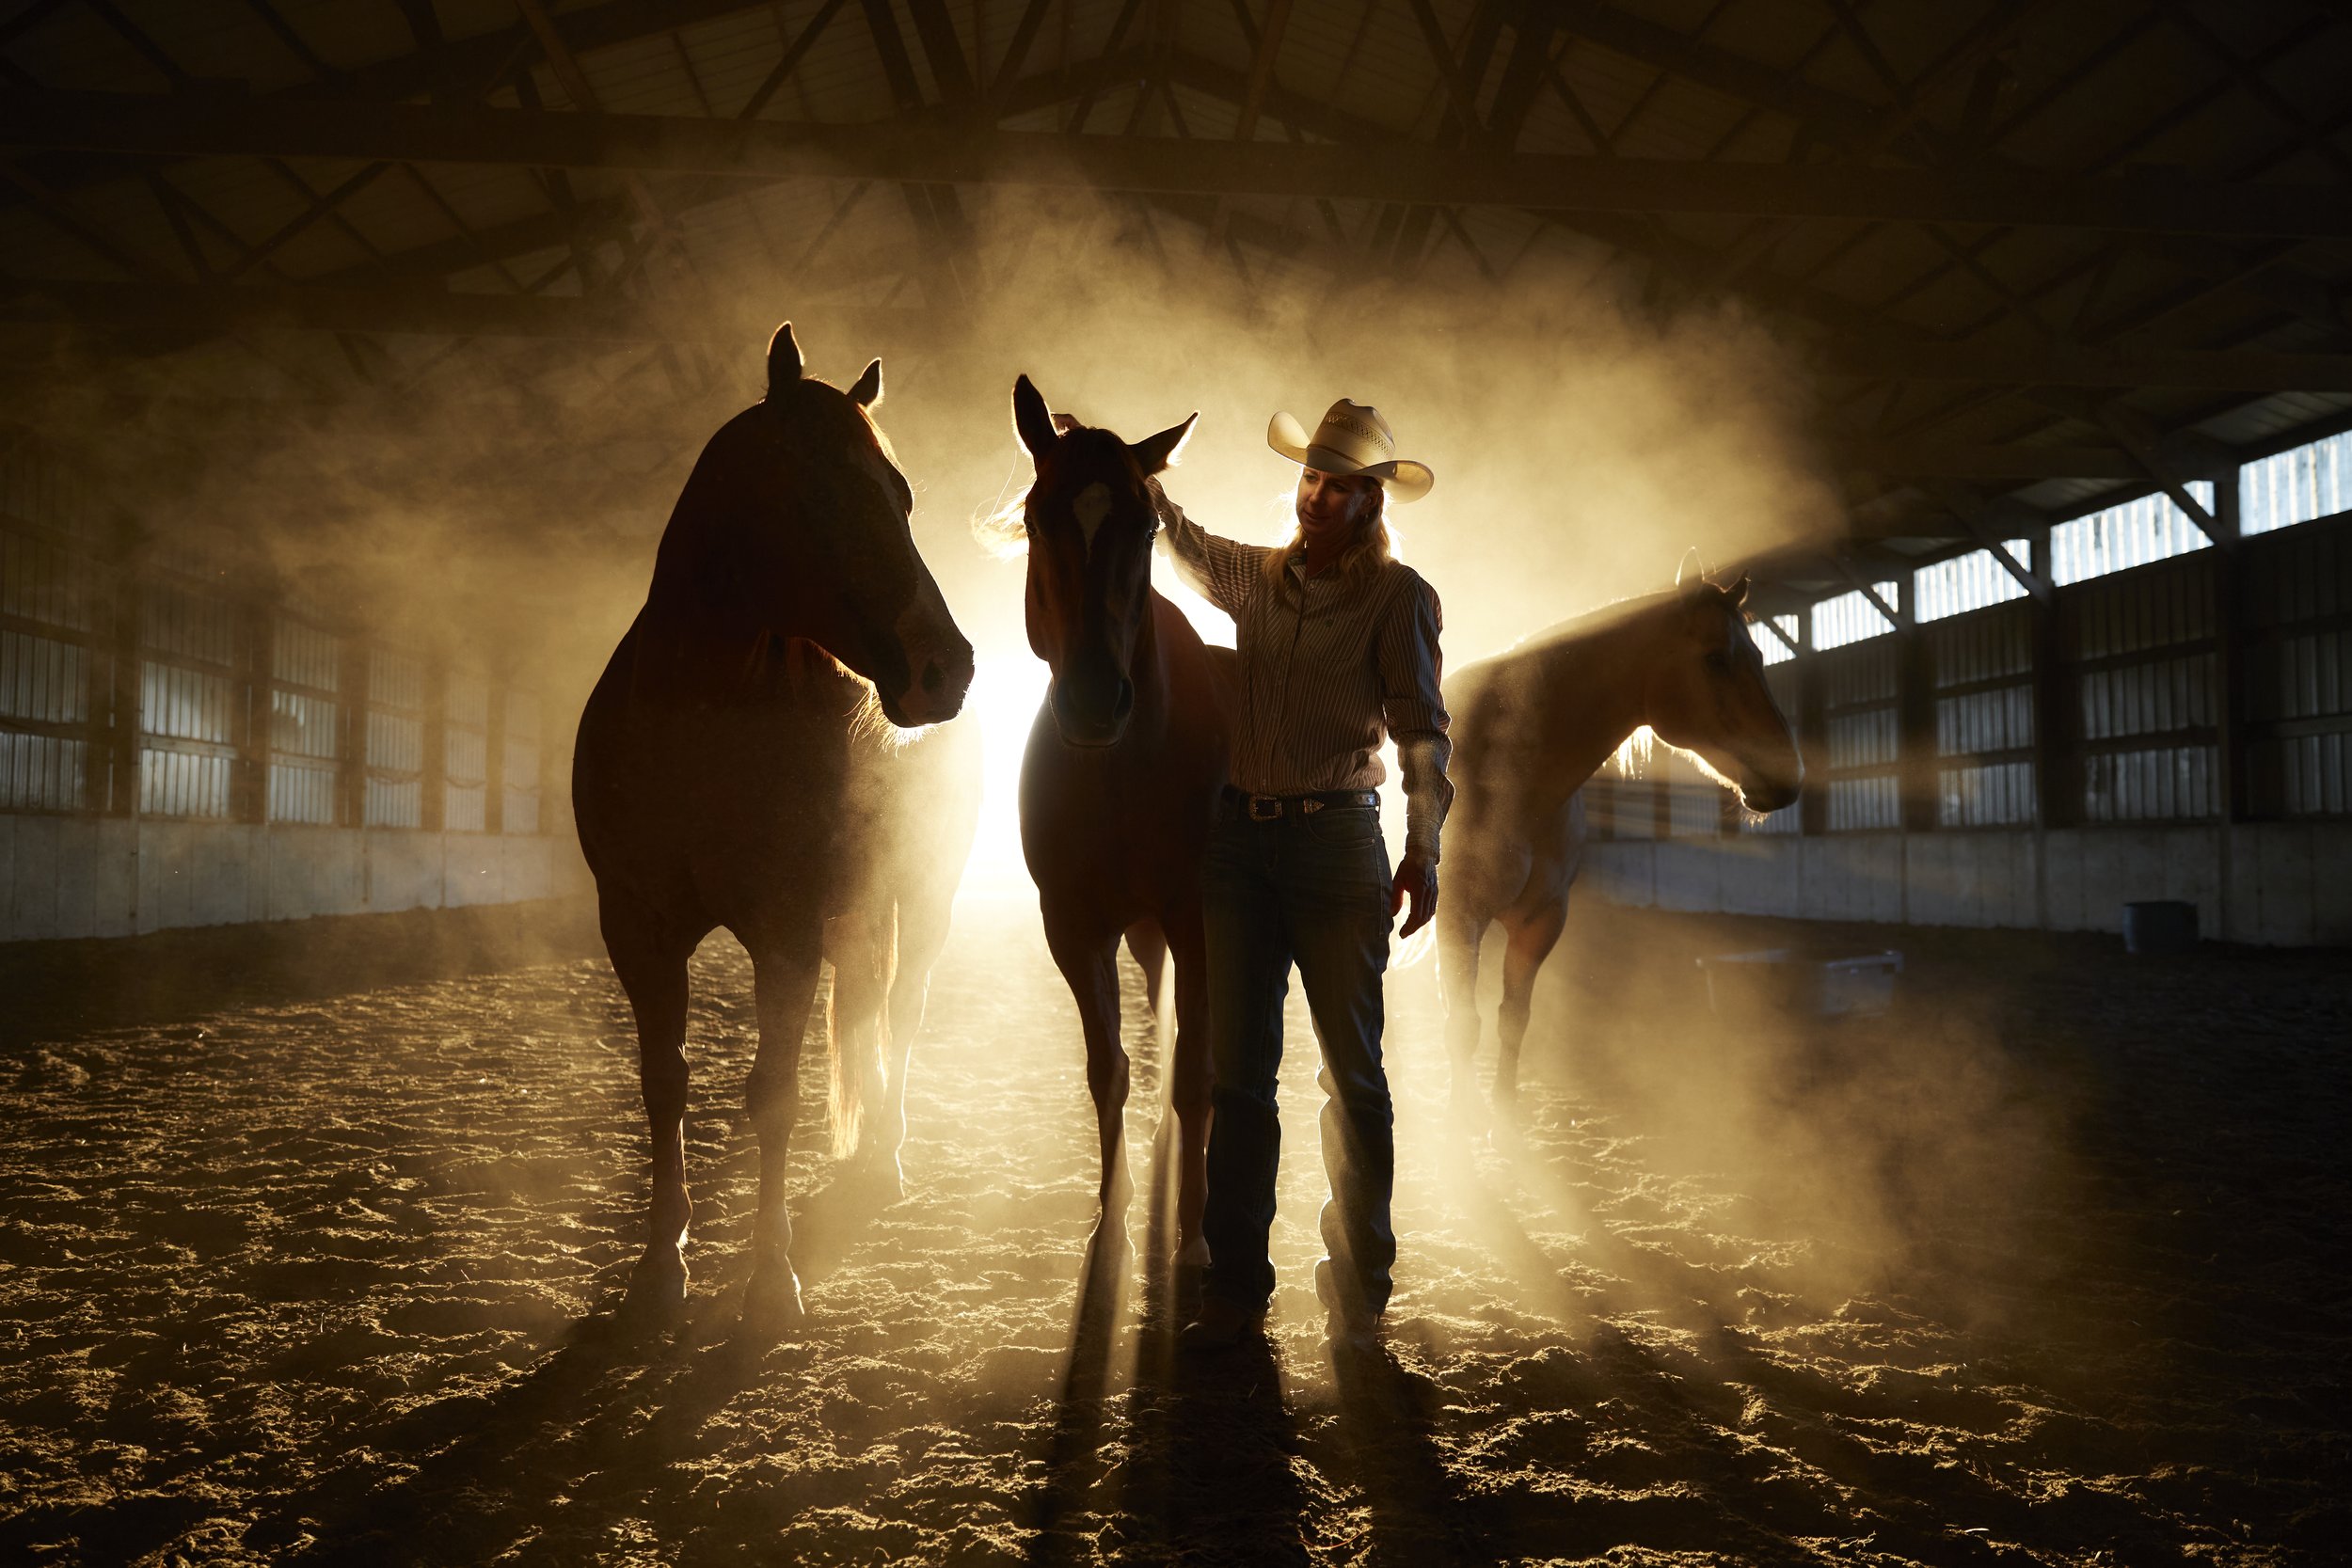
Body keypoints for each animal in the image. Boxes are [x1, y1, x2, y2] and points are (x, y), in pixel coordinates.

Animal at [579, 328, 974, 1325]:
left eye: (902, 495)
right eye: (826, 492)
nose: (946, 667)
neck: (701, 718)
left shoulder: (785, 932)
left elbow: (774, 1095)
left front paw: (768, 1278)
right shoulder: (636, 928)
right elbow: (665, 1083)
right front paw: (659, 1267)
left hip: (923, 898)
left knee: (901, 1013)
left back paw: (884, 1155)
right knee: (867, 1010)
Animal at [1430, 571, 1797, 1123]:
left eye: (1758, 654)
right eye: (1716, 658)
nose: (1790, 775)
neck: (1507, 775)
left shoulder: (1541, 921)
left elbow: (1512, 1020)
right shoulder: (1459, 914)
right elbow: (1461, 1028)